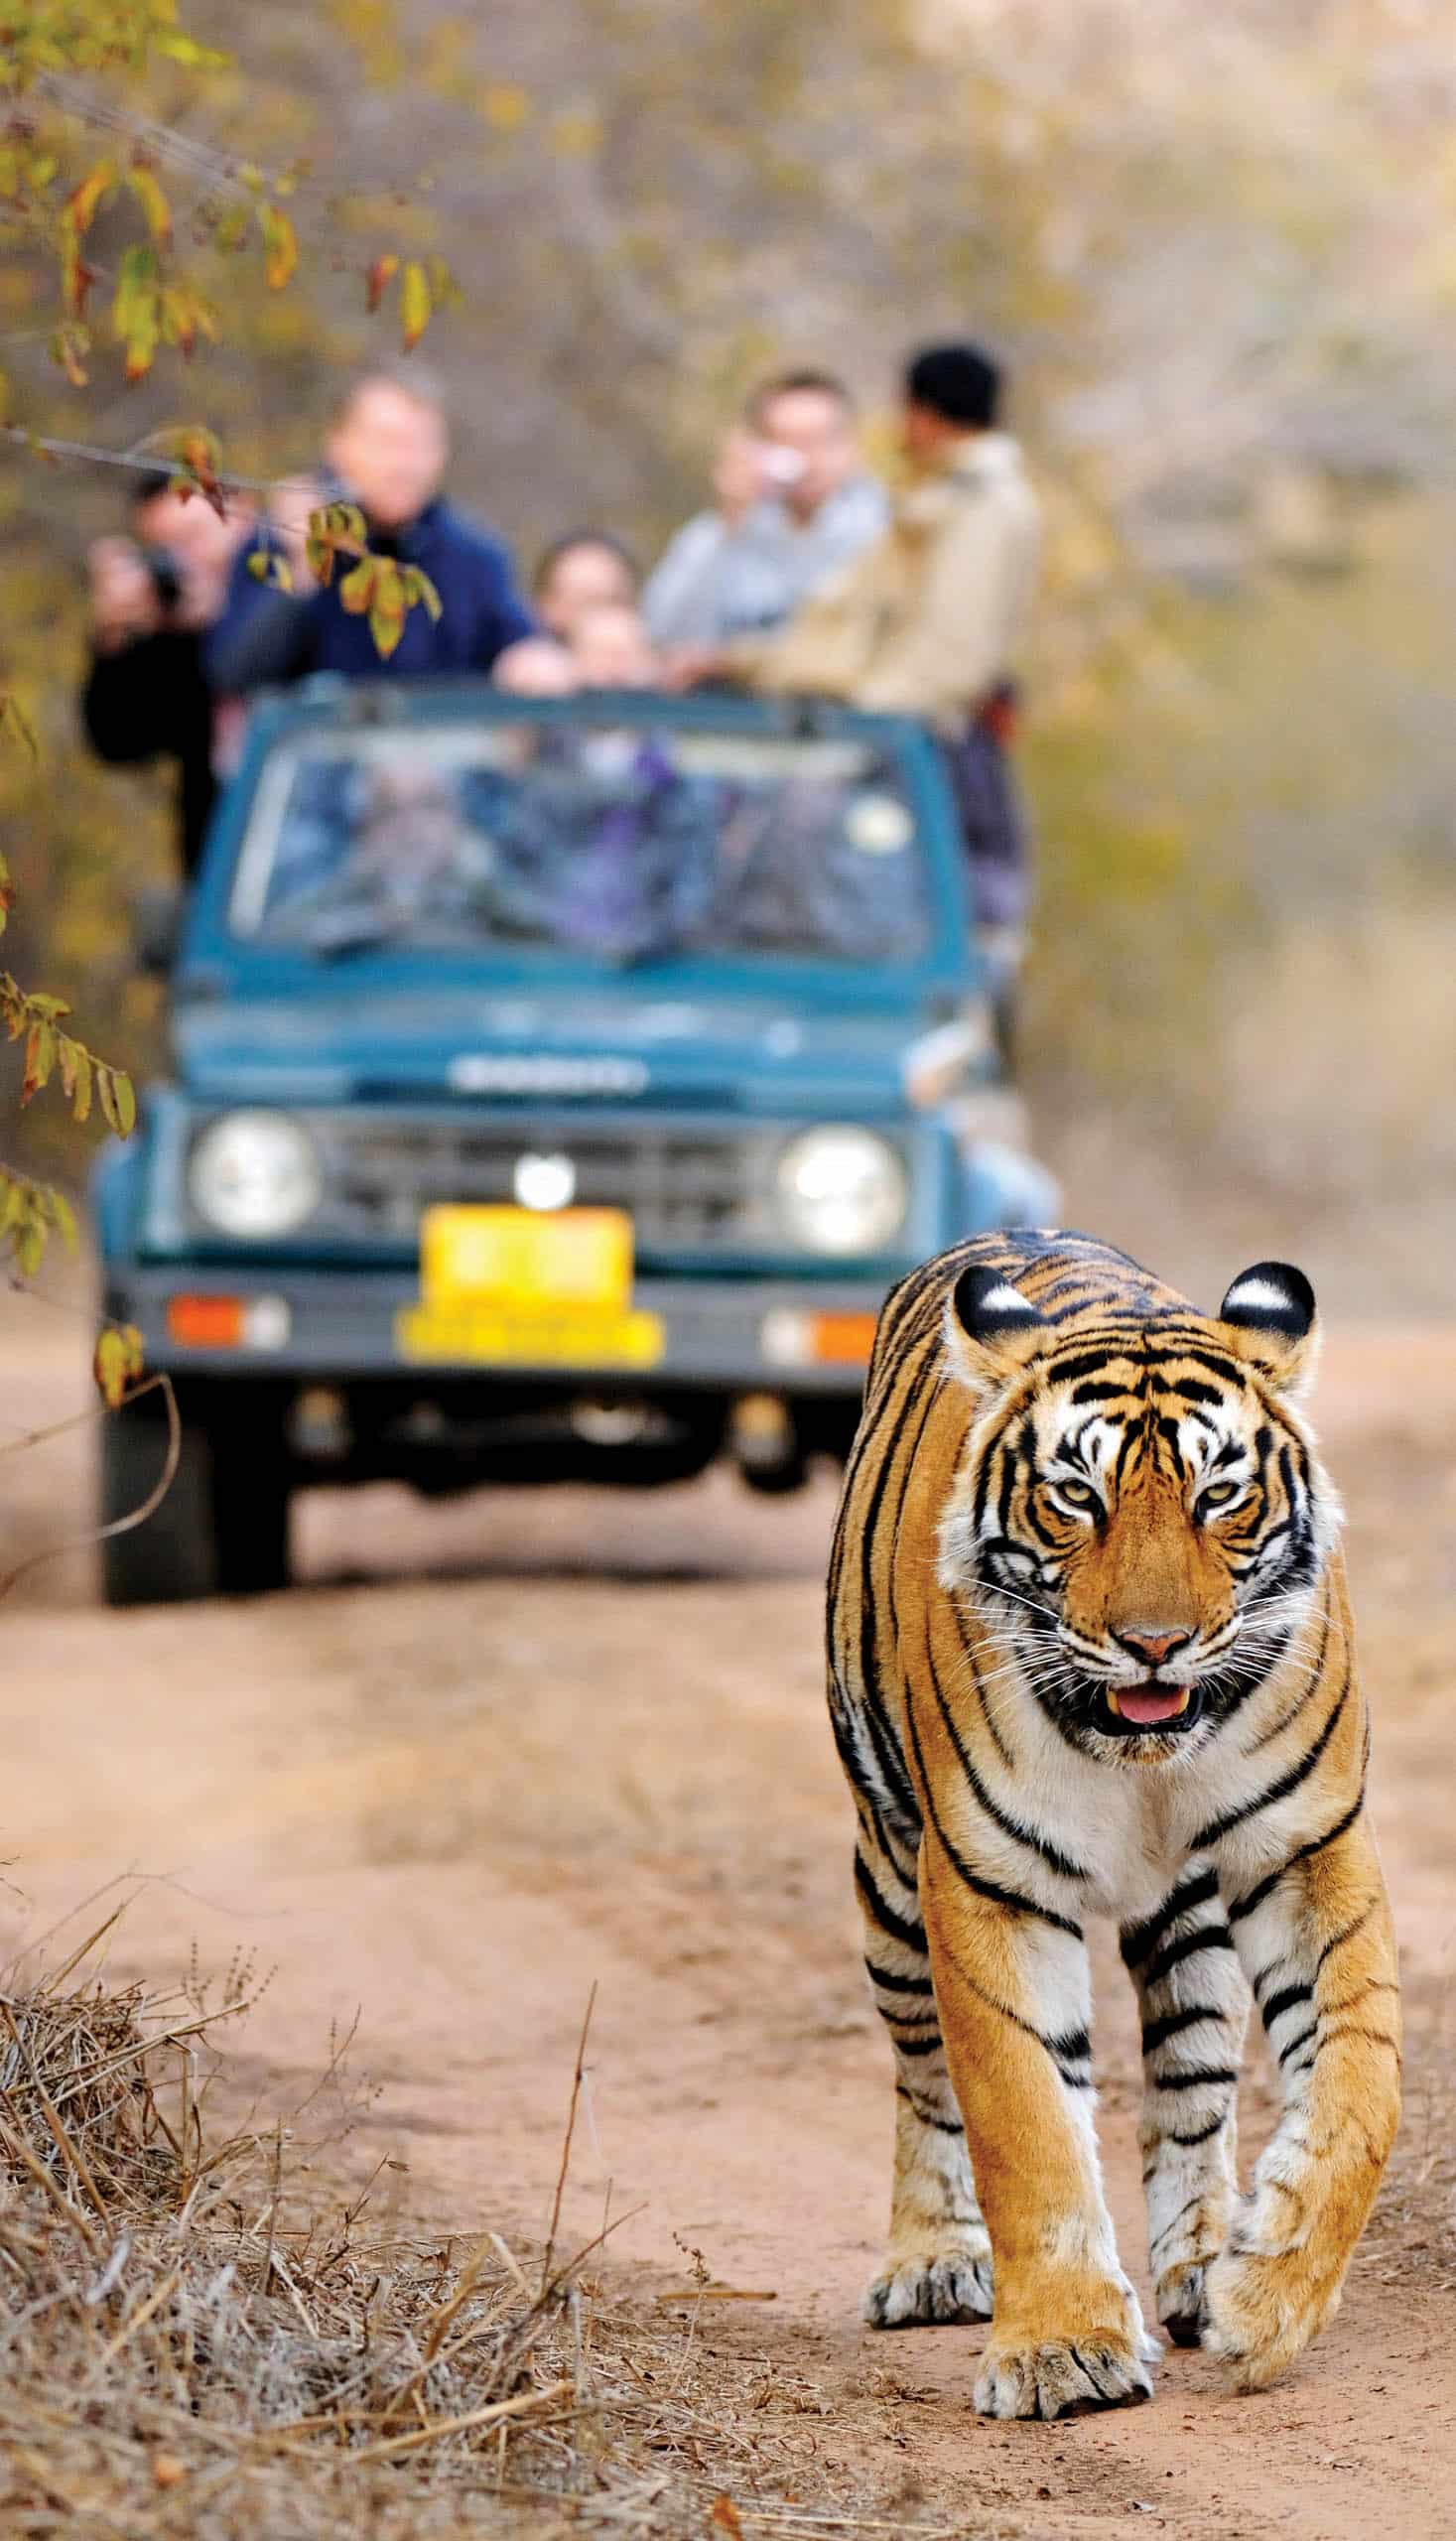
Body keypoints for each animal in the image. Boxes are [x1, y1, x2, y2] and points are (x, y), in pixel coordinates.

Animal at [823, 1230, 1391, 2419]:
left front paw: (1268, 2299)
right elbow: (1024, 2117)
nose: (1154, 1644)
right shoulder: (986, 1880)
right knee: (920, 2071)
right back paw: (931, 2261)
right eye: (1075, 1496)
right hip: (888, 1877)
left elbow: (1363, 2083)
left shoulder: (1307, 1845)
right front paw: (1059, 2351)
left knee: (1192, 2082)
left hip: (1191, 1912)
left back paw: (1203, 2262)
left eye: (1220, 1494)